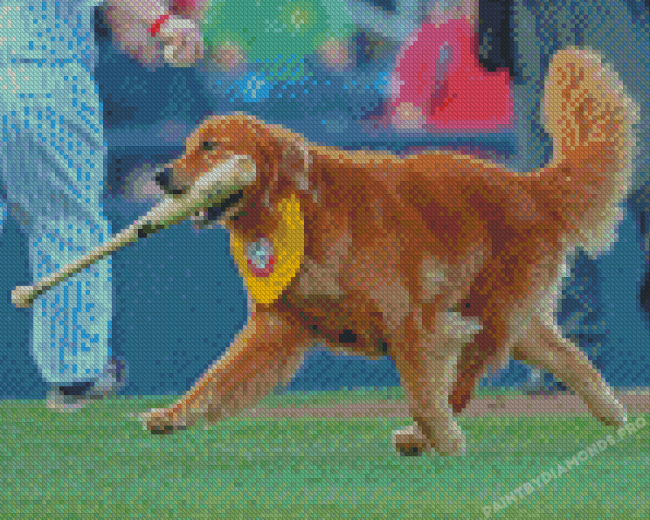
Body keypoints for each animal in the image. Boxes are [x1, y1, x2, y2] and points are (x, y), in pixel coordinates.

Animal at [140, 47, 632, 456]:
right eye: (188, 146)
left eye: (211, 146)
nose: (160, 175)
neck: (299, 211)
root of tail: (529, 185)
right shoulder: (275, 326)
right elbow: (213, 379)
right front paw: (172, 414)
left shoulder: (409, 321)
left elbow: (421, 397)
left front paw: (442, 439)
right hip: (506, 319)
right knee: (570, 357)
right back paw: (613, 413)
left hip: (490, 315)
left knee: (463, 385)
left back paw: (425, 437)